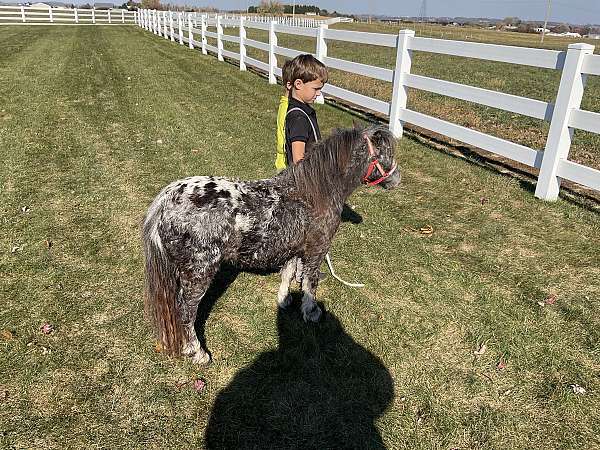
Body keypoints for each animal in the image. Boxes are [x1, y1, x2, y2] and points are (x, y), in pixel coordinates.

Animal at [142, 125, 400, 364]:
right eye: (387, 151)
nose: (397, 179)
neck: (314, 192)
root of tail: (165, 200)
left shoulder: (294, 249)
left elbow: (288, 273)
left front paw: (284, 300)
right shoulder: (316, 251)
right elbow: (310, 283)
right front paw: (311, 312)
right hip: (199, 272)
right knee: (186, 311)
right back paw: (198, 353)